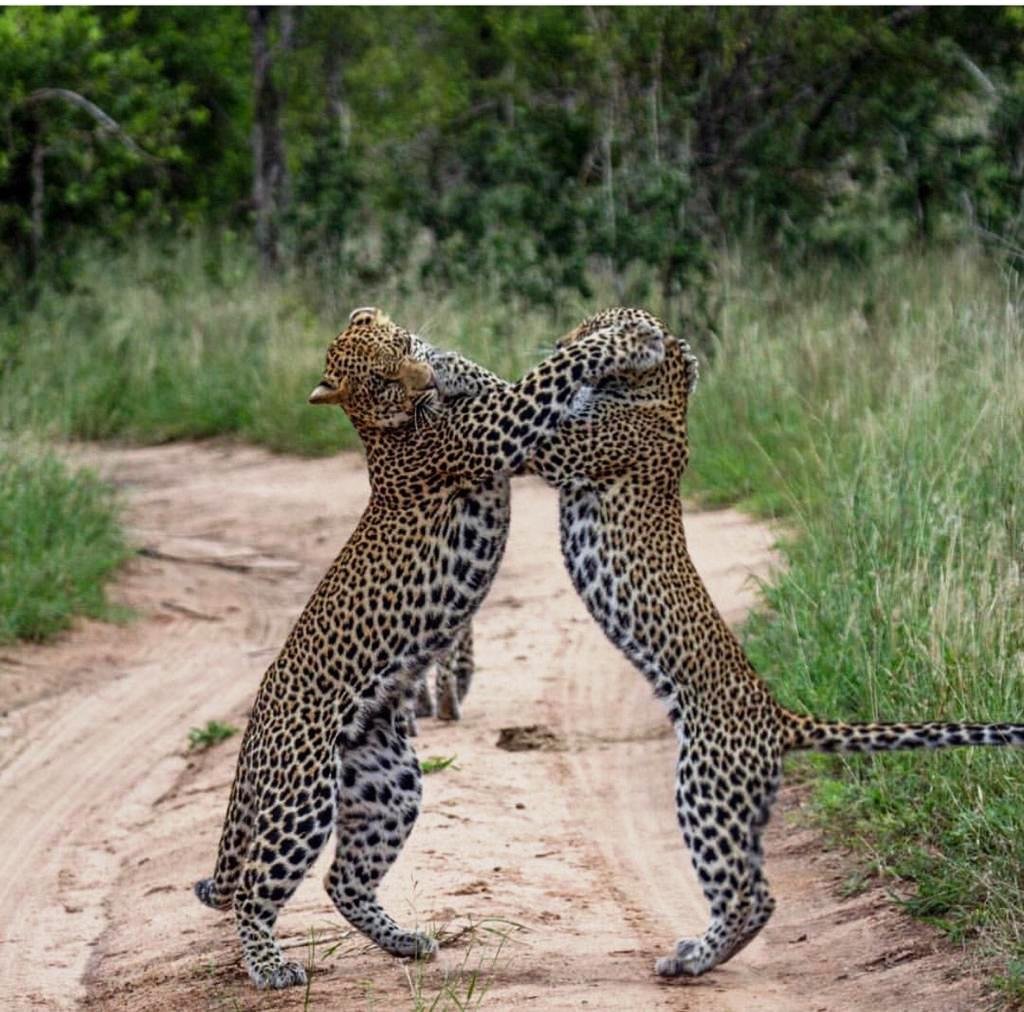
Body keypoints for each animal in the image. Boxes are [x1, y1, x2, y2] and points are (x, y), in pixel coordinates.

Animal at [192, 303, 667, 987]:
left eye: (400, 348)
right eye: (383, 383)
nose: (422, 382)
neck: (379, 429)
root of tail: (255, 721)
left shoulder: (501, 409)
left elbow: (511, 374)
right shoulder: (502, 427)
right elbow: (553, 373)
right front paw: (628, 338)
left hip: (388, 784)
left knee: (343, 881)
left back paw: (404, 941)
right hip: (302, 795)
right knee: (257, 888)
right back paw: (271, 967)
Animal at [512, 305, 1024, 975]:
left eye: (596, 324)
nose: (563, 338)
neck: (664, 396)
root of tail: (779, 718)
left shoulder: (556, 448)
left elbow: (517, 401)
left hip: (704, 784)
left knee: (748, 894)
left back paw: (691, 960)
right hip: (737, 804)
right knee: (758, 886)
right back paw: (703, 952)